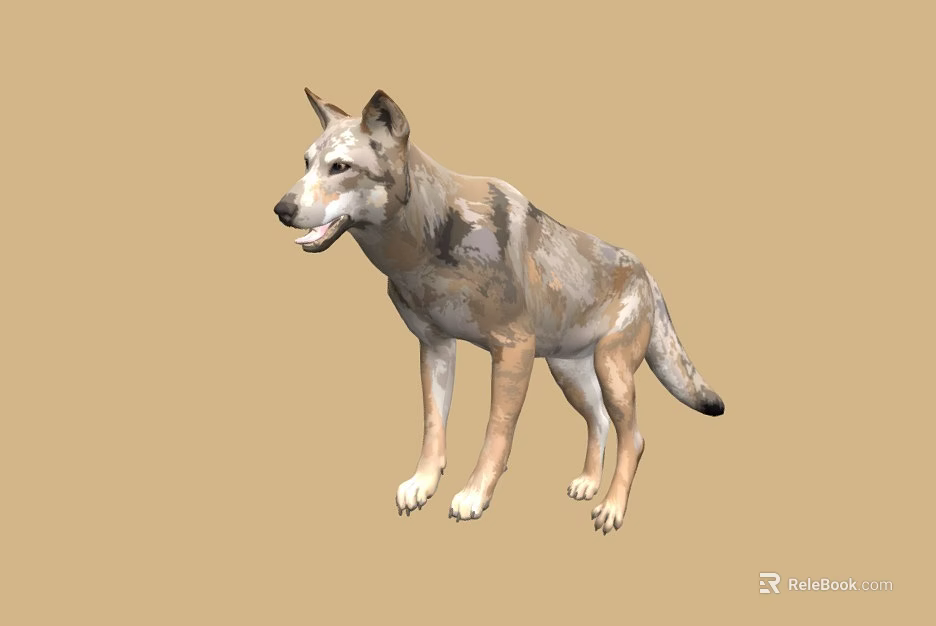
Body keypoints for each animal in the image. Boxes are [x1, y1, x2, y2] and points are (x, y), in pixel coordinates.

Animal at [272, 89, 725, 534]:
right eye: (307, 164)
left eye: (340, 167)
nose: (281, 210)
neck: (424, 248)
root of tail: (647, 272)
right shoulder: (436, 346)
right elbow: (434, 427)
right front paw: (423, 483)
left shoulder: (513, 351)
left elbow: (496, 433)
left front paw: (474, 494)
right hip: (571, 375)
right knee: (599, 421)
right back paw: (588, 483)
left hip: (611, 370)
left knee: (634, 438)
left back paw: (612, 507)